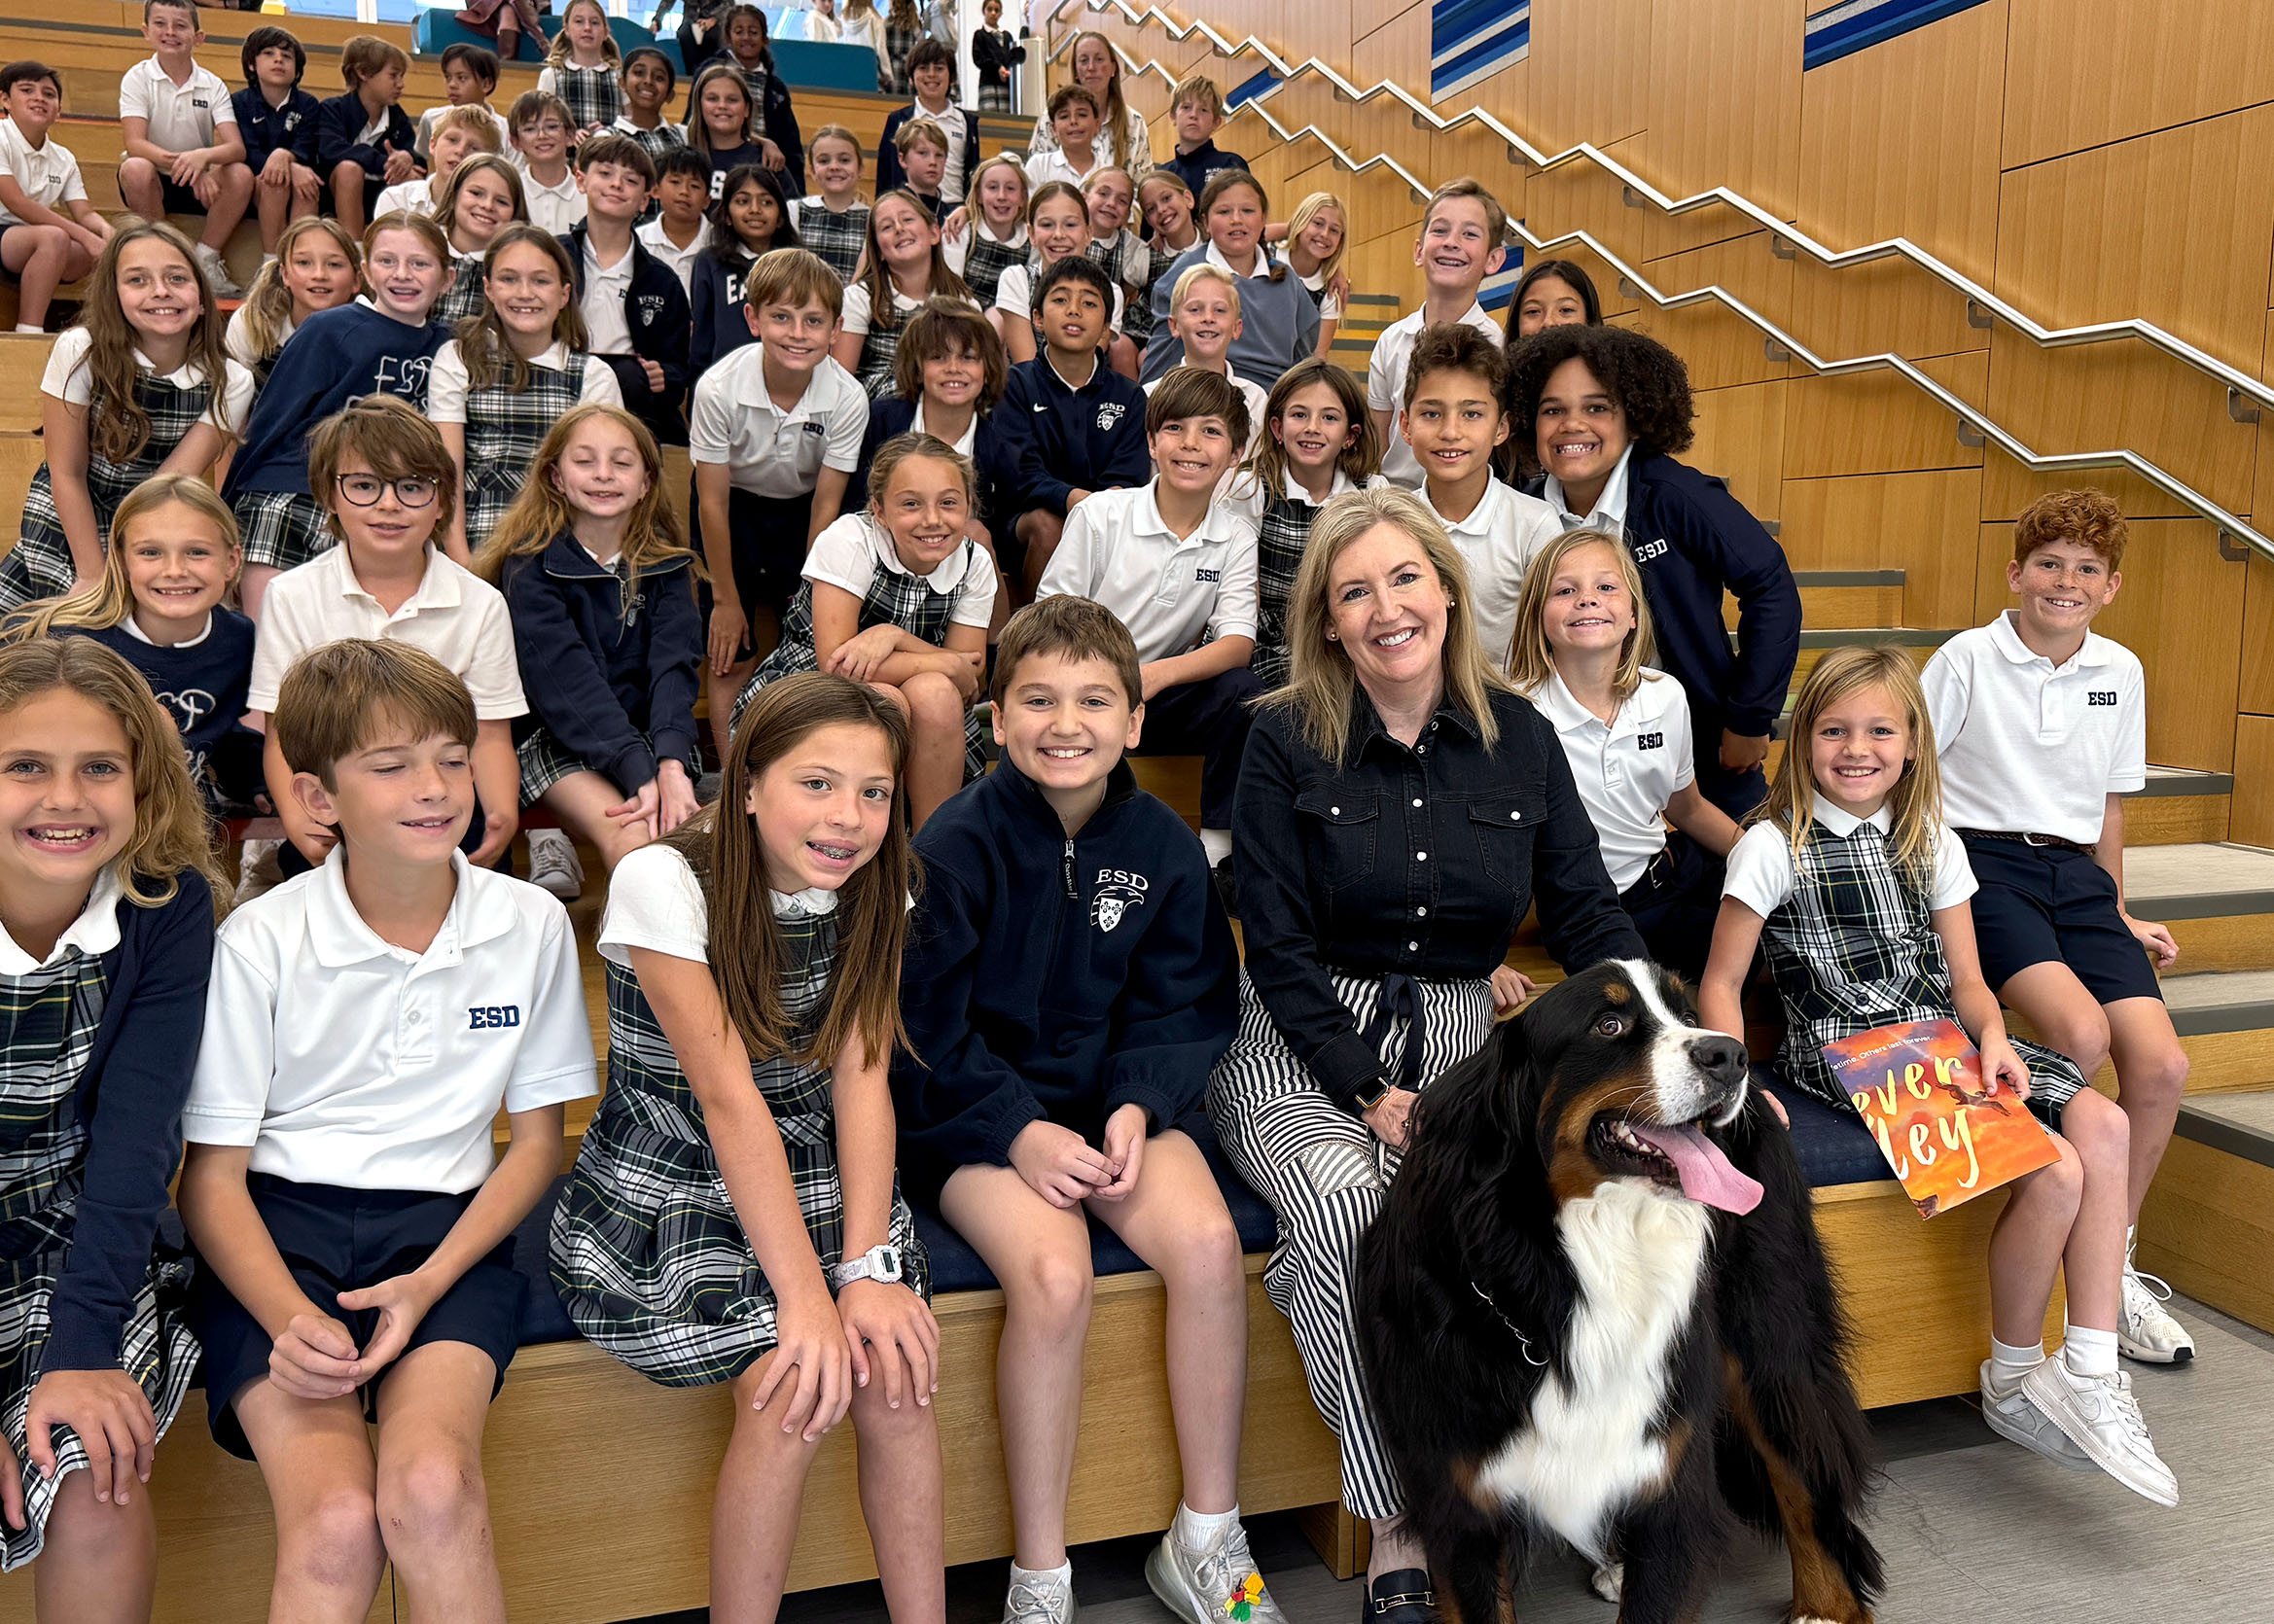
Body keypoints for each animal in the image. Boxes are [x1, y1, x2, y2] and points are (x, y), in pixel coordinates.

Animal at [1356, 960, 1883, 1624]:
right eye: (1608, 1025)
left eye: (1687, 1015)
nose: (1731, 1054)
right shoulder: (1462, 1497)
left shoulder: (1668, 1477)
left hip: (1768, 1339)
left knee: (1802, 1470)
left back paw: (1827, 1606)